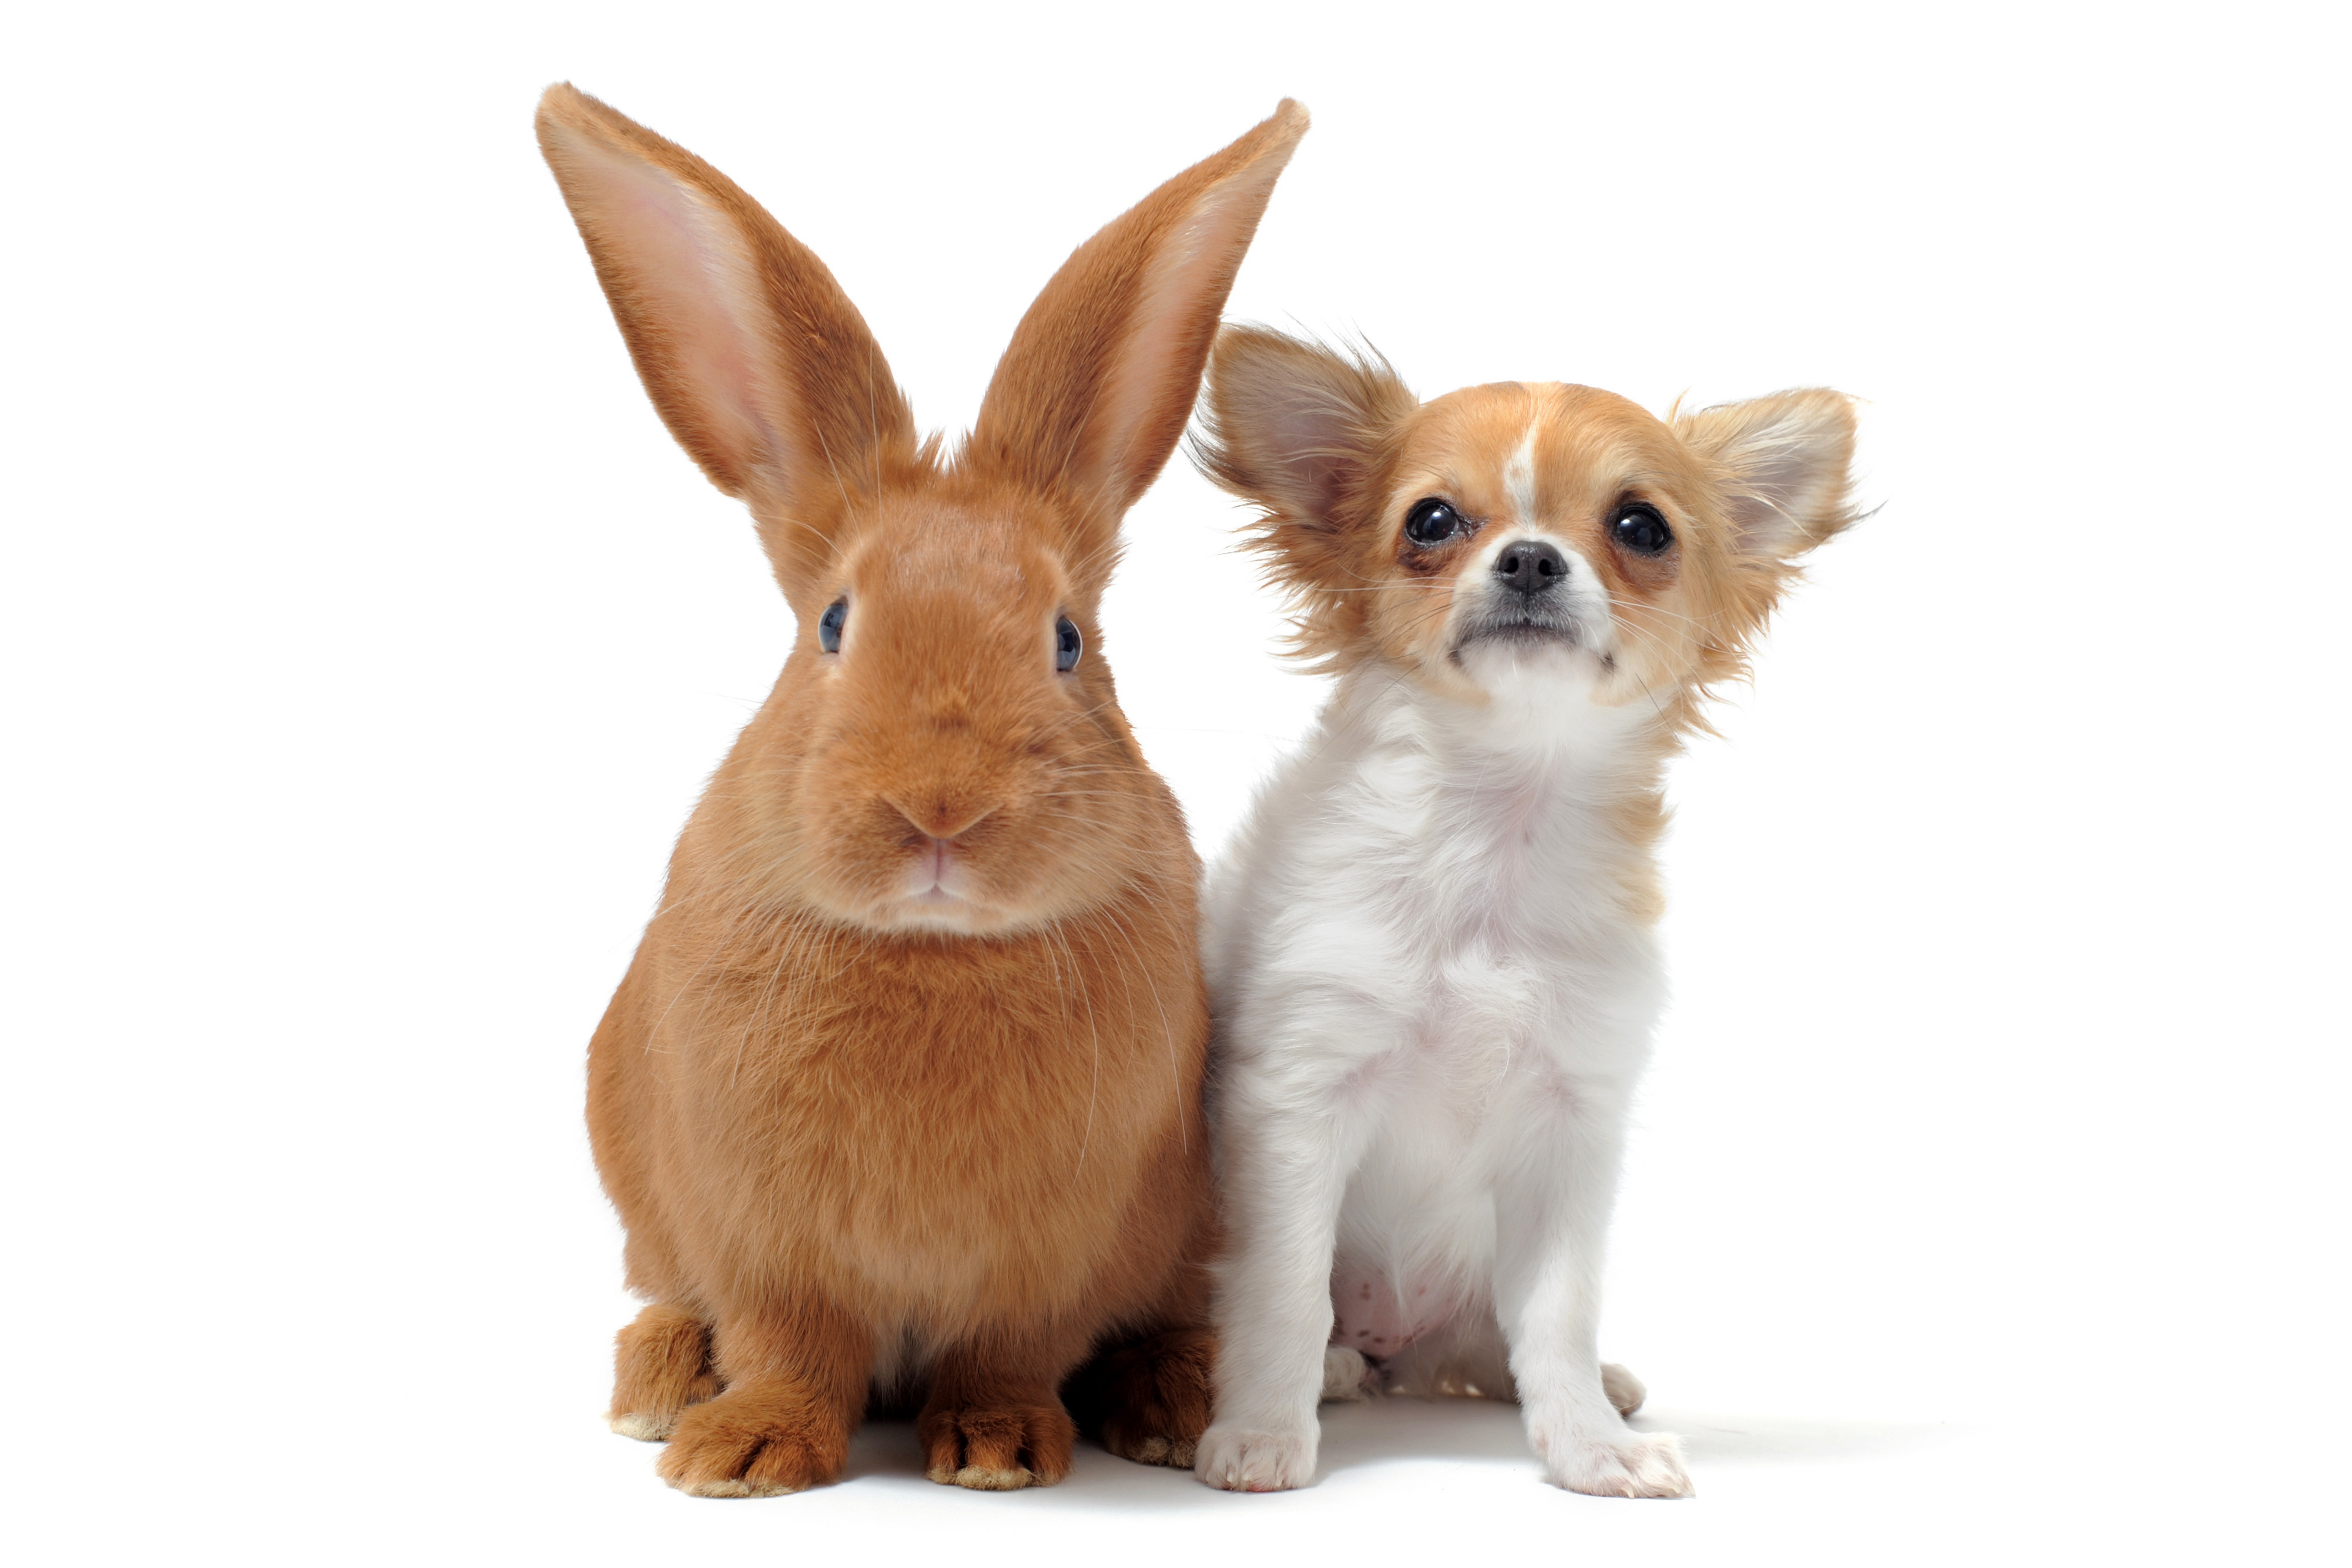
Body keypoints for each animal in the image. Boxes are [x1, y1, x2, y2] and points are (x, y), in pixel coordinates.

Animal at [534, 83, 1308, 1496]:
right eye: (833, 625)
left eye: (1069, 642)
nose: (940, 809)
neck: (935, 952)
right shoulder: (761, 1244)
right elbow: (788, 1347)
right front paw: (741, 1454)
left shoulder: (1049, 1262)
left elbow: (1007, 1353)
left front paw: (998, 1451)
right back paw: (657, 1388)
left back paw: (1172, 1403)